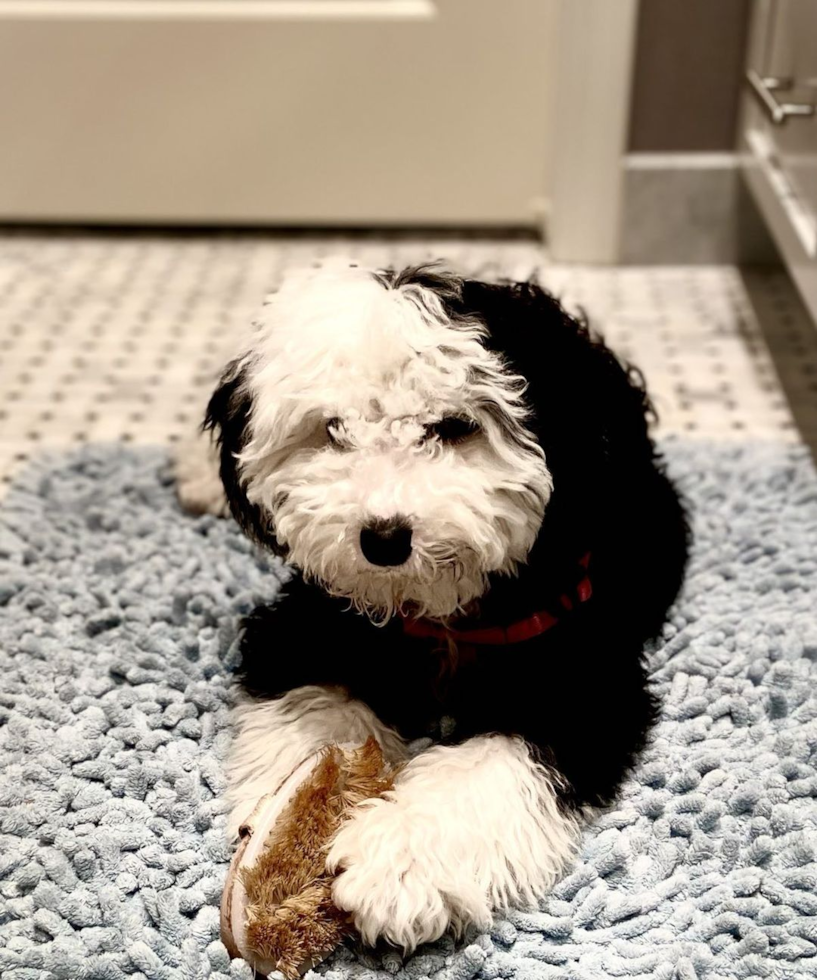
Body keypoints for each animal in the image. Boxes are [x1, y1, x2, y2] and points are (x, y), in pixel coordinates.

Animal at [175, 264, 684, 952]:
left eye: (454, 425)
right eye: (332, 430)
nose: (384, 538)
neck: (438, 616)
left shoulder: (582, 681)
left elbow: (489, 765)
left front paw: (398, 862)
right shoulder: (312, 623)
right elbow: (321, 713)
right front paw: (301, 809)